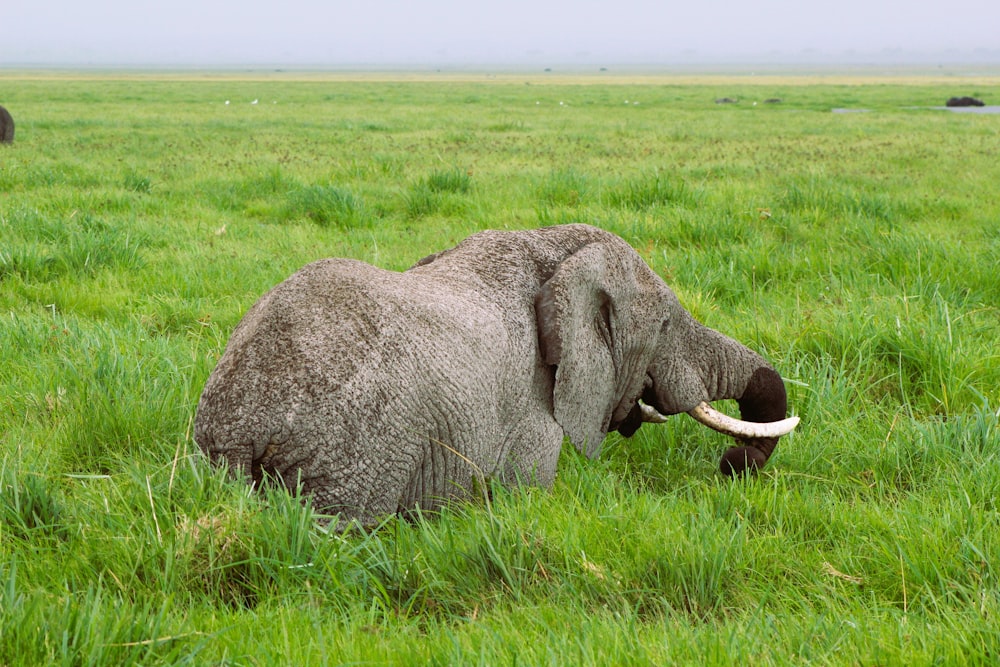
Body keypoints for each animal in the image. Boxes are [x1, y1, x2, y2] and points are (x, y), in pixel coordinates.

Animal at [195, 224, 800, 528]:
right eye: (669, 322)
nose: (732, 466)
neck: (550, 247)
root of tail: (234, 428)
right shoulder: (531, 411)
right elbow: (527, 493)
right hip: (353, 452)